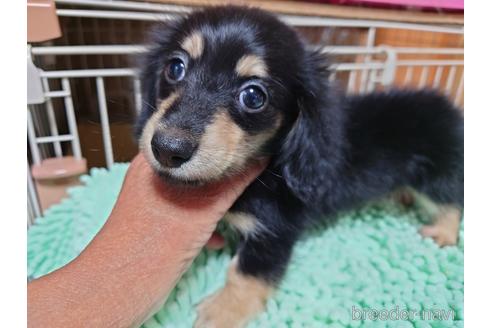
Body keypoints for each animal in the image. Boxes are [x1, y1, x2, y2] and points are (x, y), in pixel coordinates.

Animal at [134, 5, 462, 328]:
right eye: (175, 68)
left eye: (253, 96)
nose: (168, 149)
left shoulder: (274, 231)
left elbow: (246, 273)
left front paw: (222, 311)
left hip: (436, 178)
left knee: (451, 204)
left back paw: (442, 234)